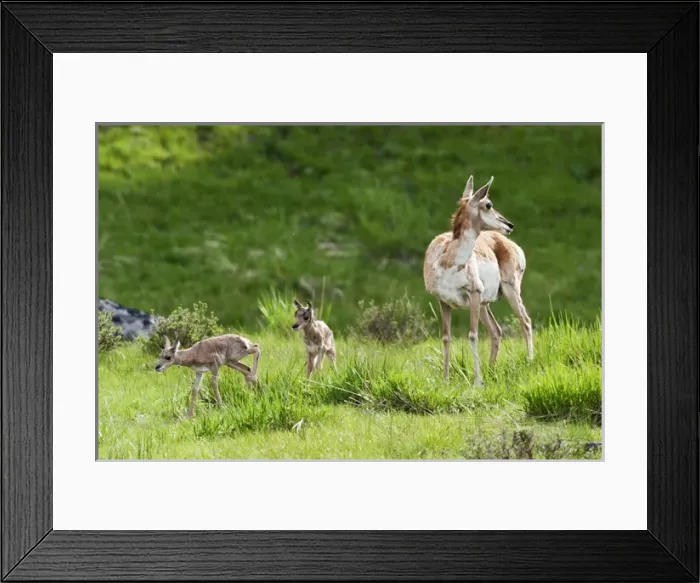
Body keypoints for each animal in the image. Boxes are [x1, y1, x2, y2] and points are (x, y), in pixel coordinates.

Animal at [423, 175, 533, 386]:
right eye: (488, 204)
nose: (509, 225)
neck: (449, 260)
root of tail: (509, 244)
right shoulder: (443, 302)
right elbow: (446, 338)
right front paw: (445, 380)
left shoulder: (473, 294)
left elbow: (472, 335)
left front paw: (477, 382)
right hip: (484, 304)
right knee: (496, 331)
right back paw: (491, 370)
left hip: (509, 291)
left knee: (525, 321)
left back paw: (530, 361)